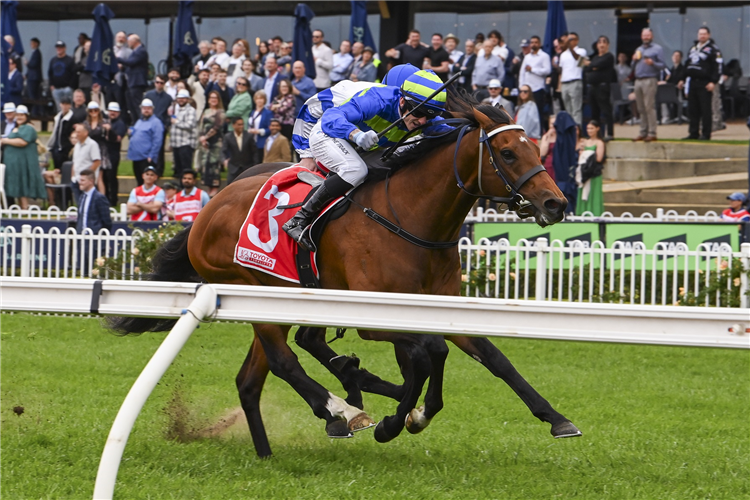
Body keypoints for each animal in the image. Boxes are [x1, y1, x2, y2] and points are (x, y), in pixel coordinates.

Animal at [111, 93, 580, 458]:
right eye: (508, 153)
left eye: (537, 148)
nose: (556, 204)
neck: (411, 217)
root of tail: (207, 209)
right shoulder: (375, 318)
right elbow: (428, 352)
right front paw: (398, 419)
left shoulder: (441, 307)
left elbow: (491, 358)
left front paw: (557, 418)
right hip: (249, 292)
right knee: (284, 360)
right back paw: (343, 410)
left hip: (278, 297)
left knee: (254, 378)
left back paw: (274, 448)